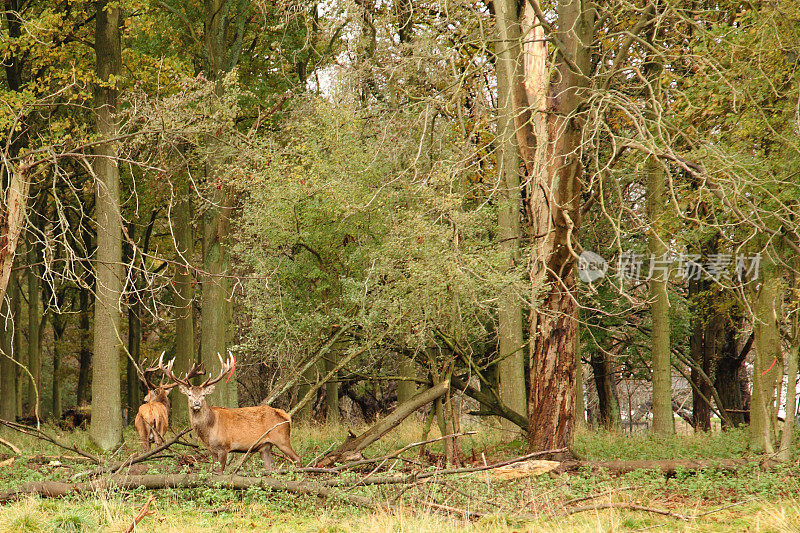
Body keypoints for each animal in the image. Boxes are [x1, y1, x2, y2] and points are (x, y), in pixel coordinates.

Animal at [159, 352, 300, 472]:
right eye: (189, 394)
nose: (197, 403)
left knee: (297, 458)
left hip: (282, 438)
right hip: (265, 446)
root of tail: (286, 415)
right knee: (270, 468)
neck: (209, 430)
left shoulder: (224, 447)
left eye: (203, 395)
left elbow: (220, 472)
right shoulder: (212, 450)